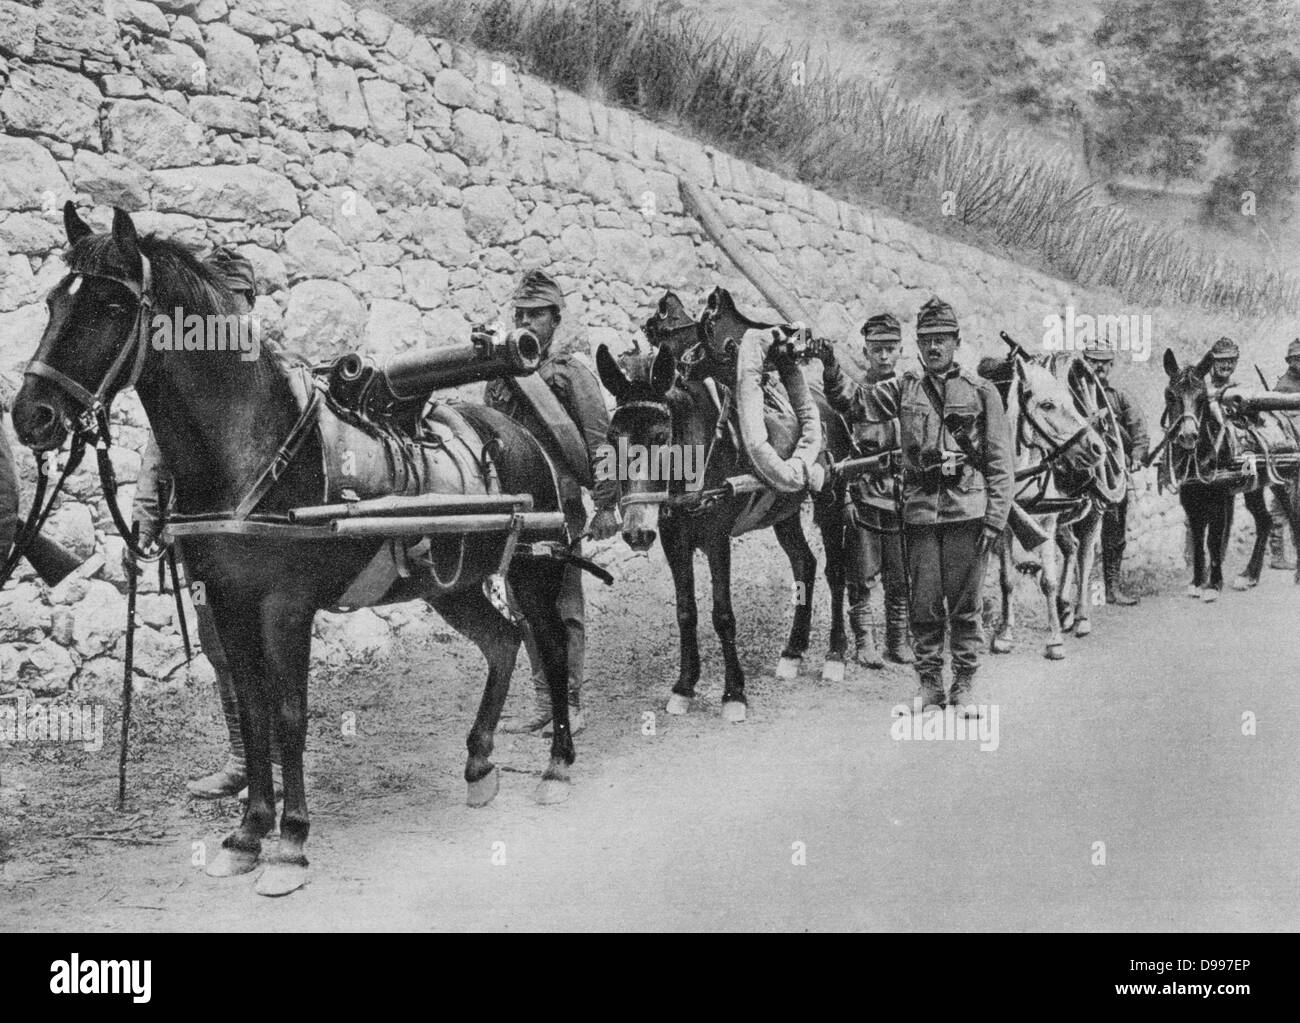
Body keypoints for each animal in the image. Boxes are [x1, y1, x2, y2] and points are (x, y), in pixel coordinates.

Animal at [595, 288, 857, 722]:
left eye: (662, 436)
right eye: (613, 438)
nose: (636, 533)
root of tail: (826, 403)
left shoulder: (717, 540)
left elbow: (722, 614)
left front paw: (734, 693)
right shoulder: (674, 543)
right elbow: (686, 612)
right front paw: (684, 688)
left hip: (829, 499)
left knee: (836, 571)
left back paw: (835, 656)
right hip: (783, 511)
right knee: (805, 563)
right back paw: (793, 652)